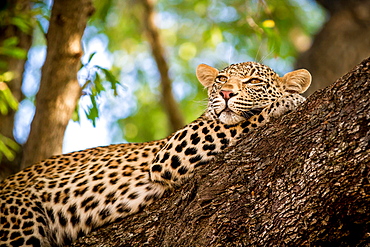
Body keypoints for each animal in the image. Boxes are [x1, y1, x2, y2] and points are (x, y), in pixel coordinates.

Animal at [0, 60, 310, 246]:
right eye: (221, 79)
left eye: (253, 81)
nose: (225, 94)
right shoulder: (175, 149)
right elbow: (241, 121)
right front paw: (288, 100)